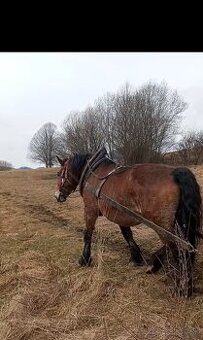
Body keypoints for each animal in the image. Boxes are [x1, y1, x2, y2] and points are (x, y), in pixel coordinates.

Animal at [54, 147, 202, 296]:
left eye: (59, 173)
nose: (57, 195)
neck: (93, 173)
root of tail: (175, 173)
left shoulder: (90, 210)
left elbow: (88, 234)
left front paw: (84, 259)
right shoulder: (120, 214)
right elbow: (127, 235)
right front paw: (136, 257)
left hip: (162, 224)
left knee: (178, 247)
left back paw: (182, 286)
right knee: (181, 244)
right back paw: (155, 265)